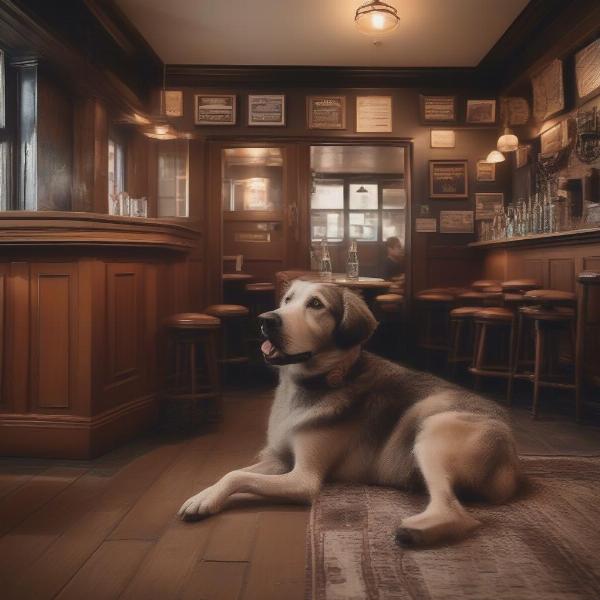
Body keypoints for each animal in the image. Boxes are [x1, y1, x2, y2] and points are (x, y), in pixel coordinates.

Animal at [178, 278, 520, 548]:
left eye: (316, 304)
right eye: (287, 300)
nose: (267, 319)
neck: (314, 383)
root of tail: (512, 463)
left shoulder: (303, 478)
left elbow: (241, 476)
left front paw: (208, 498)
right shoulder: (279, 460)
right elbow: (232, 473)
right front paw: (204, 496)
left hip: (433, 427)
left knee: (457, 513)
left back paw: (415, 531)